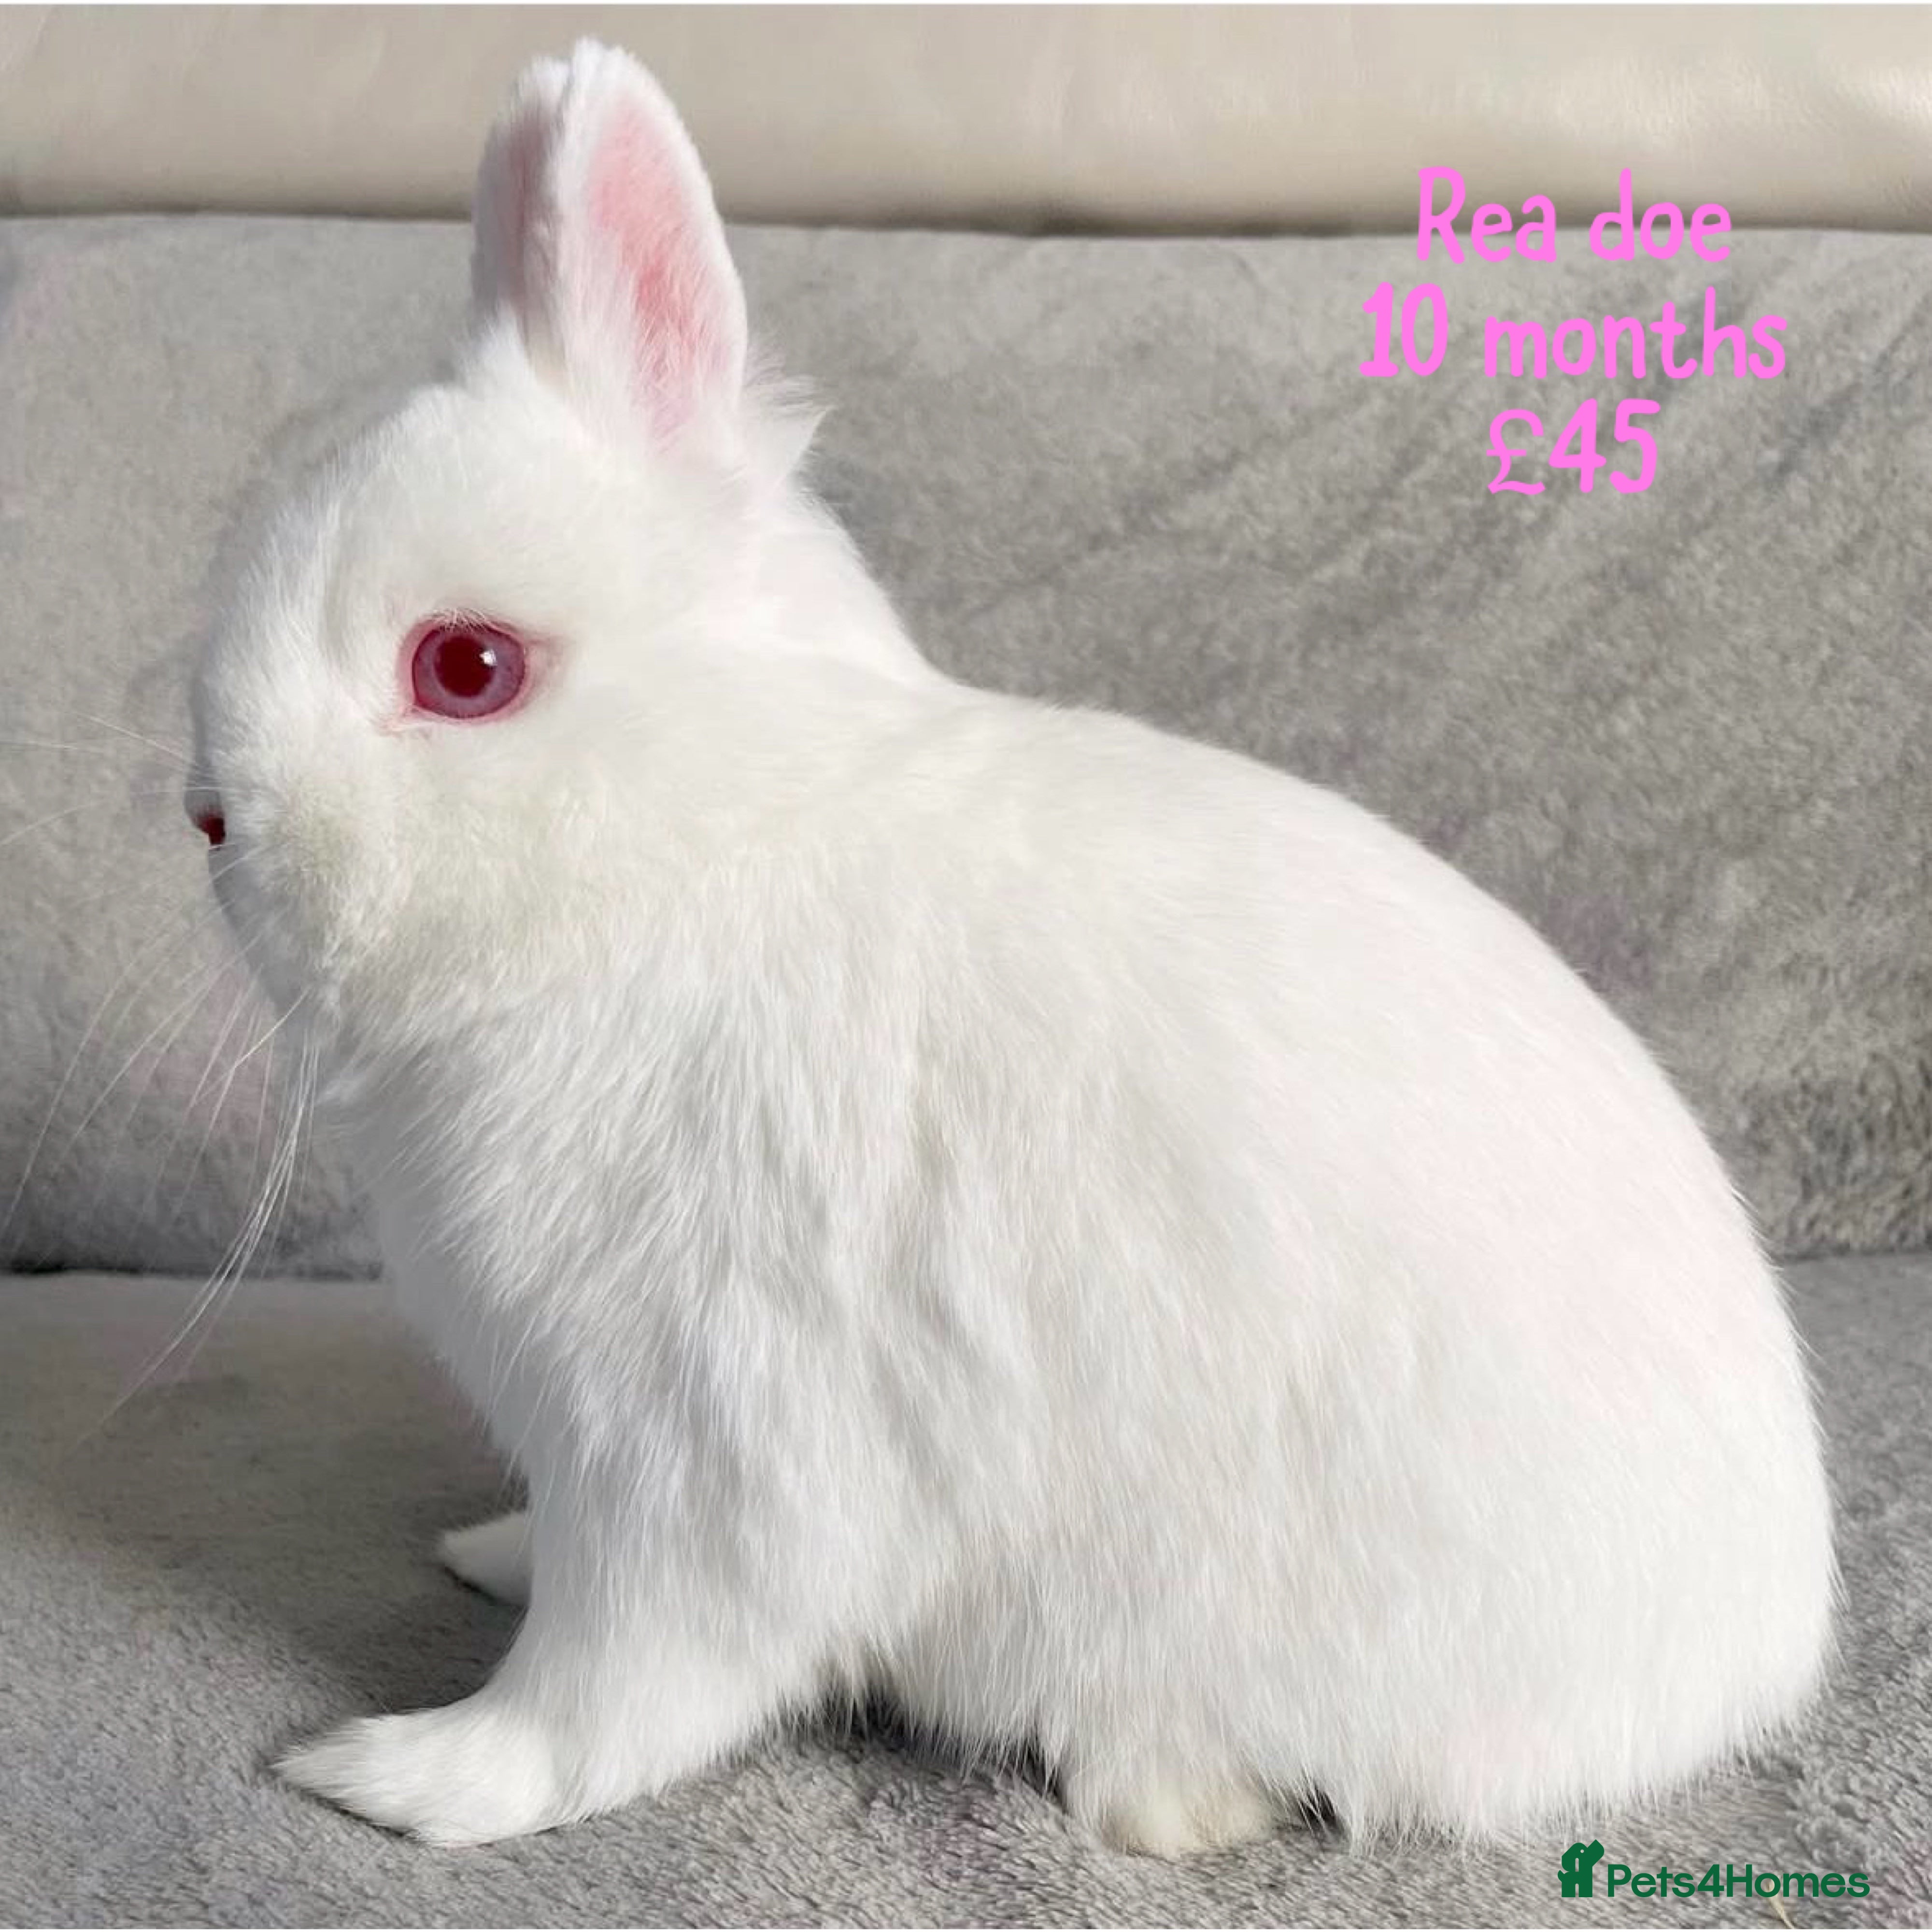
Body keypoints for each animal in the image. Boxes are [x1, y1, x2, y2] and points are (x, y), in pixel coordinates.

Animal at [186, 39, 1835, 1856]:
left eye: (467, 667)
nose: (211, 817)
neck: (700, 844)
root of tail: (1755, 1650)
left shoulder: (699, 1459)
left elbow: (608, 1694)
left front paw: (395, 1775)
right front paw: (481, 1558)